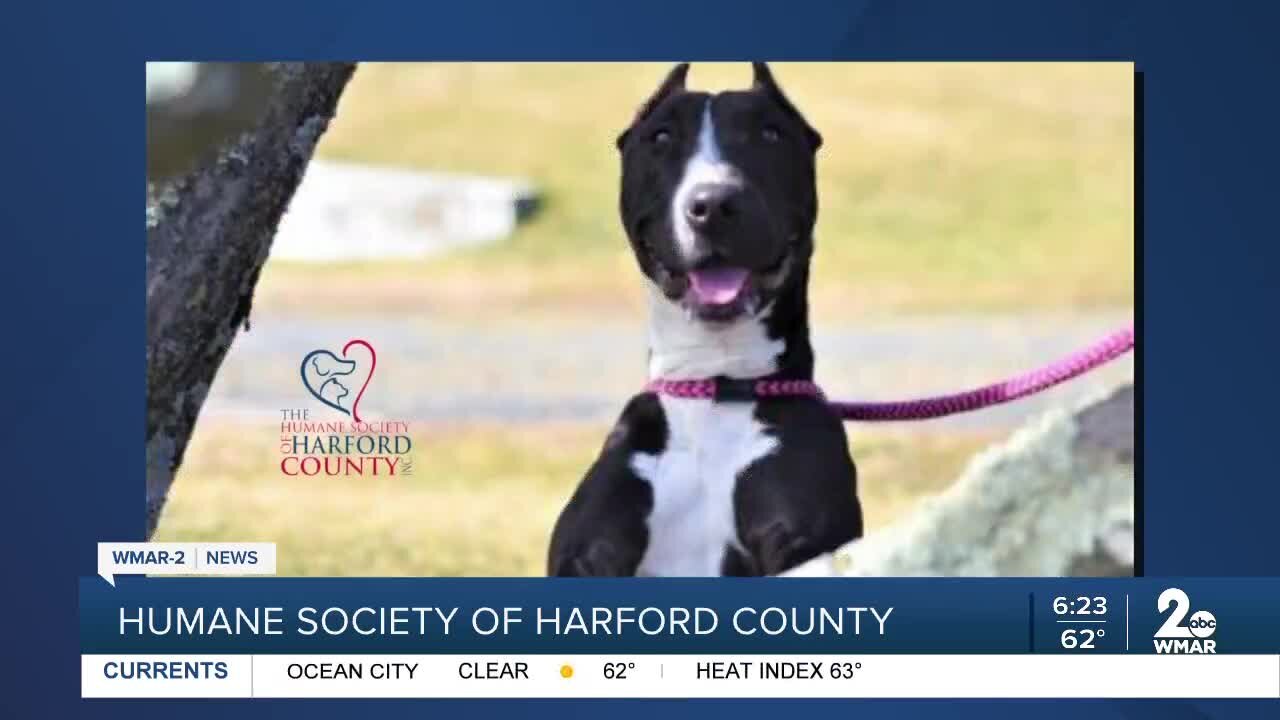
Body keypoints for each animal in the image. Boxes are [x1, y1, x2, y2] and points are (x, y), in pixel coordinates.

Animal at [545, 63, 865, 576]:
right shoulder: (586, 550)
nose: (713, 203)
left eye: (770, 133)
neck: (713, 386)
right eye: (660, 136)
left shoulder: (805, 538)